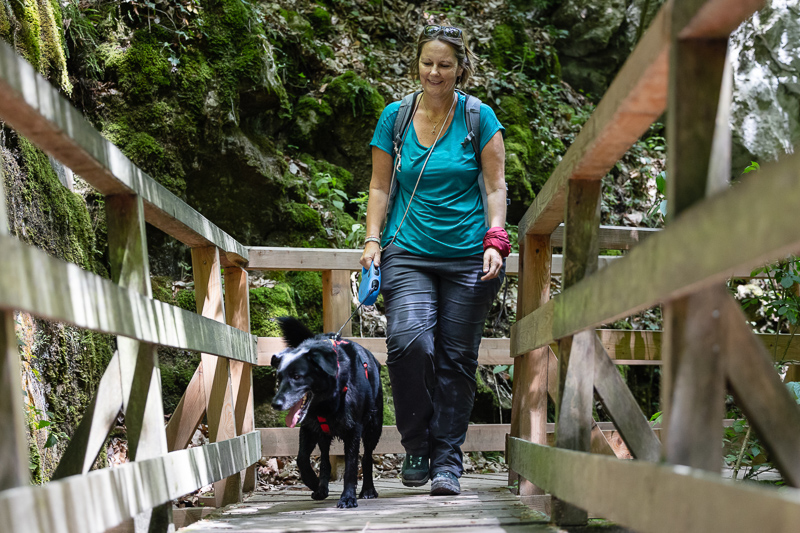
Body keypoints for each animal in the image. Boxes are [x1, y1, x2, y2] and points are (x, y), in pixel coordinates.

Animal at [270, 316, 382, 508]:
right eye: (279, 377)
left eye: (297, 376)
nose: (275, 404)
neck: (325, 402)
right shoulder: (308, 428)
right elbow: (302, 458)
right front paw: (313, 482)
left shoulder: (353, 430)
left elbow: (351, 466)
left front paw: (348, 497)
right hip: (323, 435)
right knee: (324, 460)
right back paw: (322, 487)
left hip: (373, 427)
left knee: (367, 457)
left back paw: (368, 490)